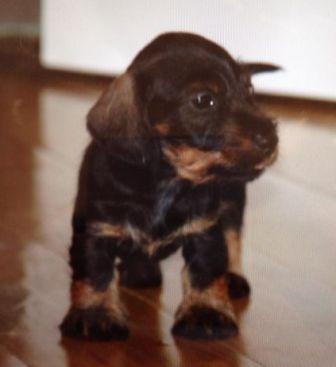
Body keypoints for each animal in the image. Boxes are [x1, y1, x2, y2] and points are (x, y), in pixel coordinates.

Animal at [59, 32, 278, 342]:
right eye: (203, 100)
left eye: (249, 89)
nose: (270, 139)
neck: (168, 180)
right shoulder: (95, 230)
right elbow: (95, 273)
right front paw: (95, 314)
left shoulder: (205, 230)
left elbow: (206, 271)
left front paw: (205, 312)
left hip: (233, 200)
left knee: (233, 236)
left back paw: (232, 277)